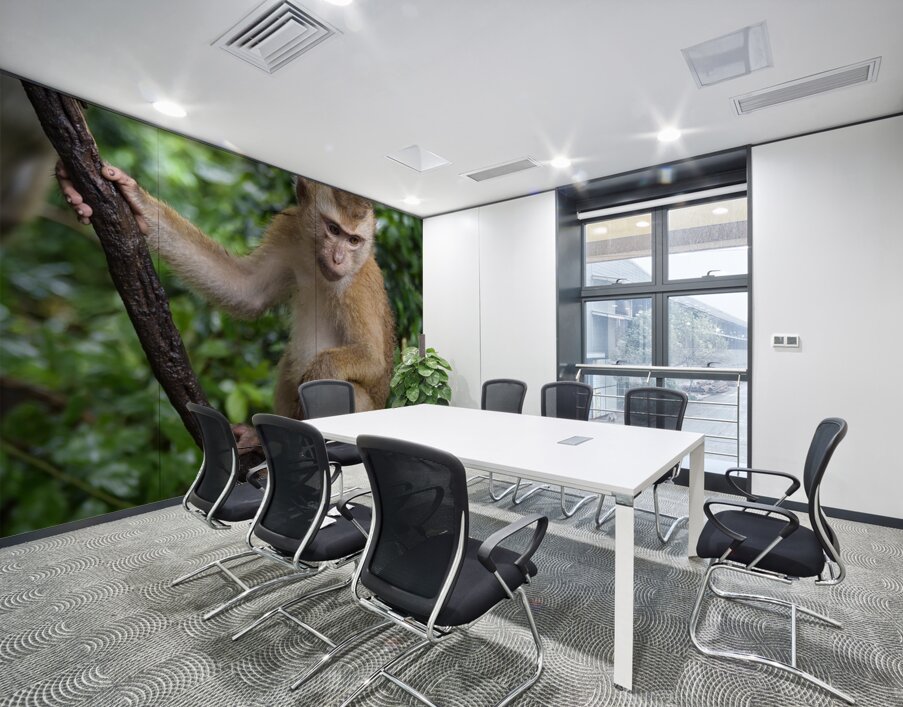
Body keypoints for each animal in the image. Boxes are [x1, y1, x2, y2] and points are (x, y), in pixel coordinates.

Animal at [56, 163, 396, 419]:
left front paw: (319, 375)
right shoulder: (289, 232)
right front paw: (135, 200)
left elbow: (370, 359)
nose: (339, 259)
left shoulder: (357, 287)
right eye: (333, 229)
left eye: (354, 241)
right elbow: (246, 291)